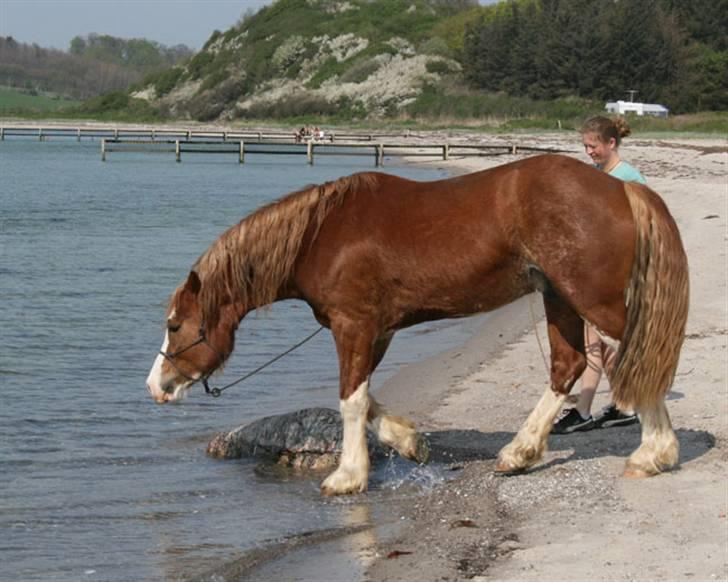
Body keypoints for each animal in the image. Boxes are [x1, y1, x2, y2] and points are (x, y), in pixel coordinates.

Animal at [144, 155, 688, 498]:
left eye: (175, 325)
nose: (156, 386)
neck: (320, 235)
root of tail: (623, 187)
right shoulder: (377, 331)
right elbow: (366, 400)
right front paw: (409, 442)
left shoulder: (353, 326)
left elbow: (351, 400)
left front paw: (348, 476)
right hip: (559, 298)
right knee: (568, 366)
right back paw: (521, 452)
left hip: (594, 300)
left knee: (641, 357)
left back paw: (653, 453)